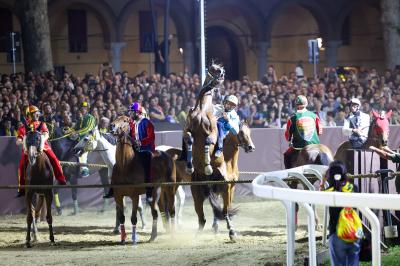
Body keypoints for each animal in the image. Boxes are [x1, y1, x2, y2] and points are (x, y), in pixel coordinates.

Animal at [110, 115, 177, 244]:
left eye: (125, 121)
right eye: (115, 118)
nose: (112, 126)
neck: (125, 165)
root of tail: (167, 155)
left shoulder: (135, 196)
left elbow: (133, 218)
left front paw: (134, 239)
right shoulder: (118, 195)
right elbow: (121, 217)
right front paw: (123, 238)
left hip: (169, 188)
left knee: (171, 211)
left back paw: (172, 235)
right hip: (156, 192)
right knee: (156, 212)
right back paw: (153, 236)